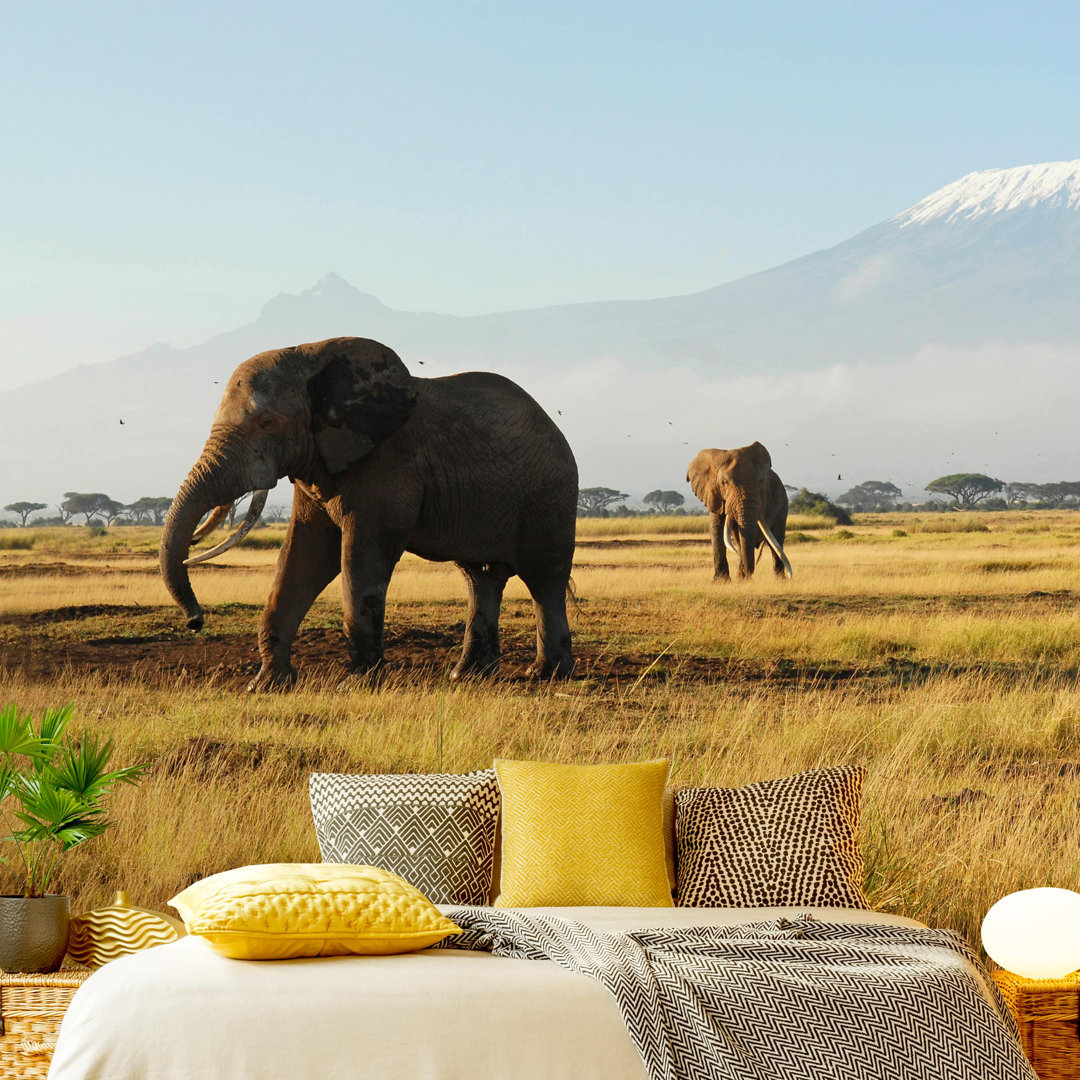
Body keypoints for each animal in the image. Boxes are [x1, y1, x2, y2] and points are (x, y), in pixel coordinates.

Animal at [159, 337, 578, 687]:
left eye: (268, 423)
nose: (196, 621)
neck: (312, 357)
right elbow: (304, 556)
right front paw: (267, 685)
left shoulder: (386, 464)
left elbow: (361, 555)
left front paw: (359, 682)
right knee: (480, 577)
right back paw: (468, 676)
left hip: (550, 496)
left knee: (545, 579)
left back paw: (547, 675)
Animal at [686, 442, 793, 582]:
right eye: (724, 482)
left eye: (761, 482)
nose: (747, 571)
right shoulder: (713, 495)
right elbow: (716, 528)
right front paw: (721, 581)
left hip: (782, 503)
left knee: (776, 541)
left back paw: (779, 580)